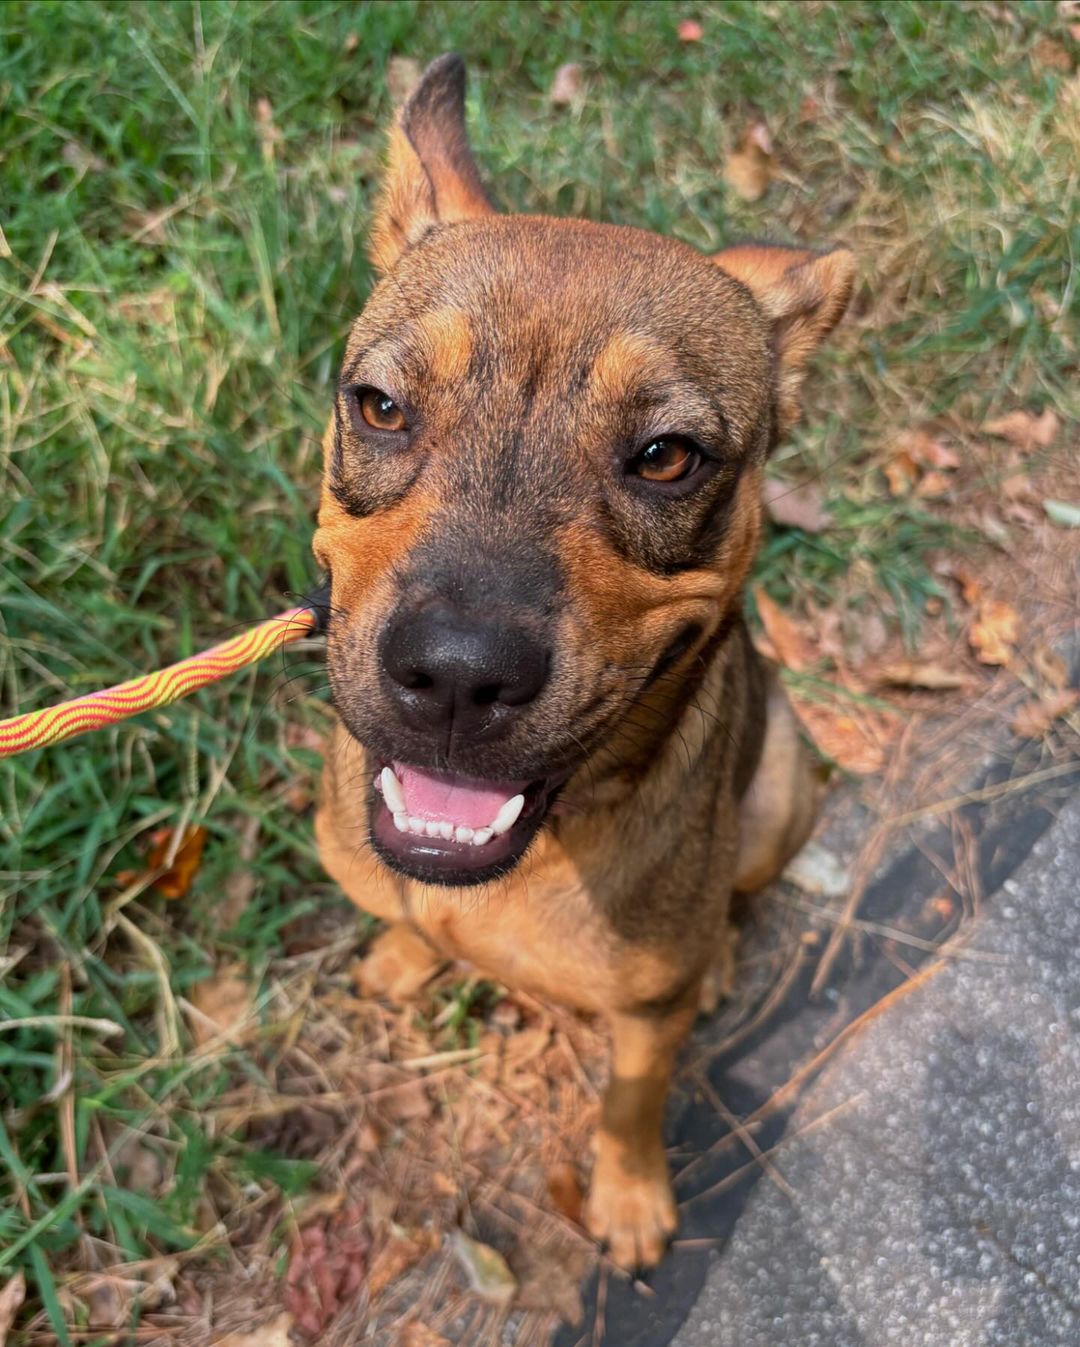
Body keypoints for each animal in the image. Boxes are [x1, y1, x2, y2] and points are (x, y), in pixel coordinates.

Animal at [311, 55, 851, 1271]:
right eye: (380, 406)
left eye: (666, 456)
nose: (456, 674)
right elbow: (406, 919)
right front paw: (407, 953)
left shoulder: (645, 1022)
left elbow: (631, 1099)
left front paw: (630, 1194)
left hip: (781, 784)